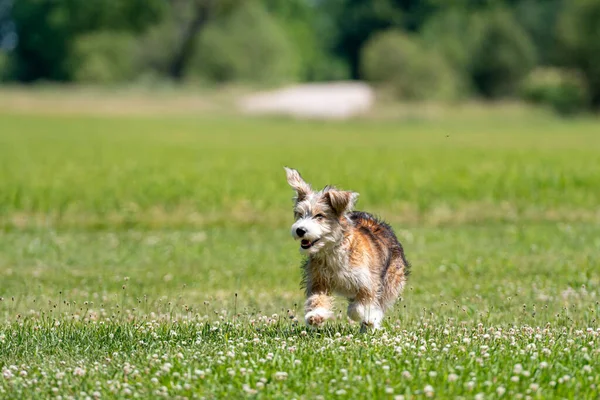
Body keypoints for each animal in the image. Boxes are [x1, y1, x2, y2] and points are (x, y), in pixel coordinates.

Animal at [284, 167, 408, 330]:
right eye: (300, 214)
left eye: (319, 216)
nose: (300, 230)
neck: (333, 250)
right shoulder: (318, 280)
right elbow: (317, 299)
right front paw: (315, 316)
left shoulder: (368, 281)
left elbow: (360, 306)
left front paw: (364, 316)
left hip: (390, 280)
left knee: (380, 304)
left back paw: (371, 322)